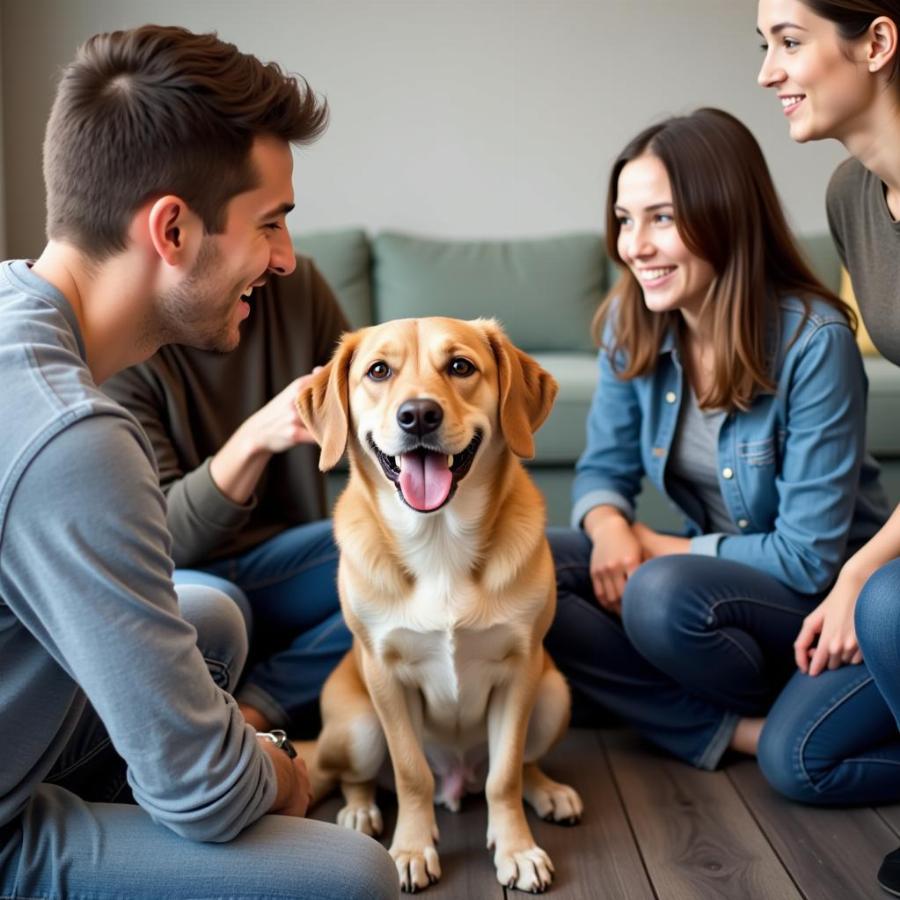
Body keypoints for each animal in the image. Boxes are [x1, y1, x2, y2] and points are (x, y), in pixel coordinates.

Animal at [298, 316, 584, 892]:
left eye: (460, 366)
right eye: (378, 371)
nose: (419, 415)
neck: (439, 540)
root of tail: (457, 779)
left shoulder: (521, 670)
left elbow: (505, 775)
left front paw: (516, 849)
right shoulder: (385, 675)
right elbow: (410, 773)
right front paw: (410, 848)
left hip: (552, 695)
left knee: (518, 767)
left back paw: (548, 790)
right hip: (360, 729)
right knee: (358, 777)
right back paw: (361, 810)